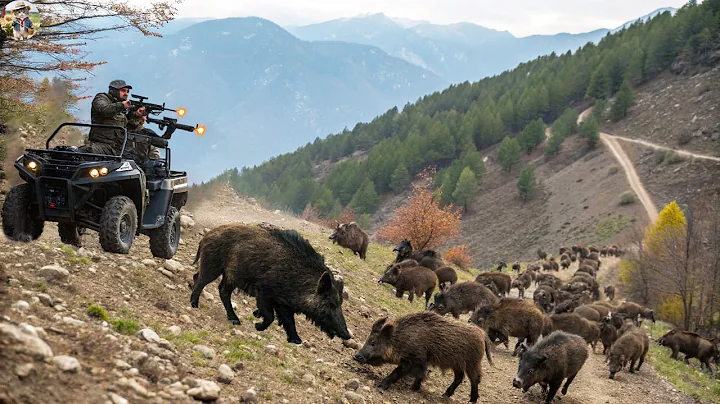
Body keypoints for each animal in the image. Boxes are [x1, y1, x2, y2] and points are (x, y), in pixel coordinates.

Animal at [190, 223, 350, 344]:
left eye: (340, 303)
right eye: (330, 303)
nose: (347, 335)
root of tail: (206, 236)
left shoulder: (283, 303)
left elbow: (289, 320)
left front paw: (296, 341)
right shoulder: (264, 292)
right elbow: (270, 316)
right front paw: (257, 324)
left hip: (229, 276)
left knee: (219, 289)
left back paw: (235, 320)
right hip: (212, 265)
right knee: (201, 281)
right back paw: (194, 305)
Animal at [353, 312, 493, 403]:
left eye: (373, 343)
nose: (356, 356)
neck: (401, 339)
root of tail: (482, 335)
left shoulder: (416, 359)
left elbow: (400, 372)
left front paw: (382, 386)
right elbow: (417, 374)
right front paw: (414, 388)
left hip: (472, 362)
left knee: (475, 379)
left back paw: (472, 400)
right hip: (457, 364)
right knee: (459, 377)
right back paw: (445, 395)